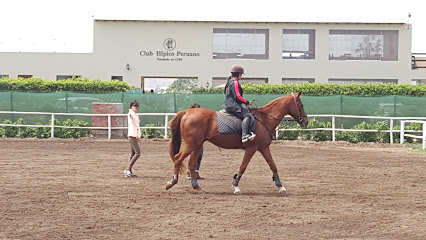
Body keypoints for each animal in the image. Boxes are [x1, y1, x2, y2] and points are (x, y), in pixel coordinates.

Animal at [165, 91, 308, 194]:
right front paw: (236, 186)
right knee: (178, 158)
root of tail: (187, 112)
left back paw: (197, 187)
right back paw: (172, 182)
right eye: (301, 105)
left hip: (197, 145)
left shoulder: (263, 147)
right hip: (191, 145)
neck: (265, 119)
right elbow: (243, 166)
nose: (305, 121)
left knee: (192, 163)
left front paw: (280, 186)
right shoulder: (251, 148)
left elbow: (273, 165)